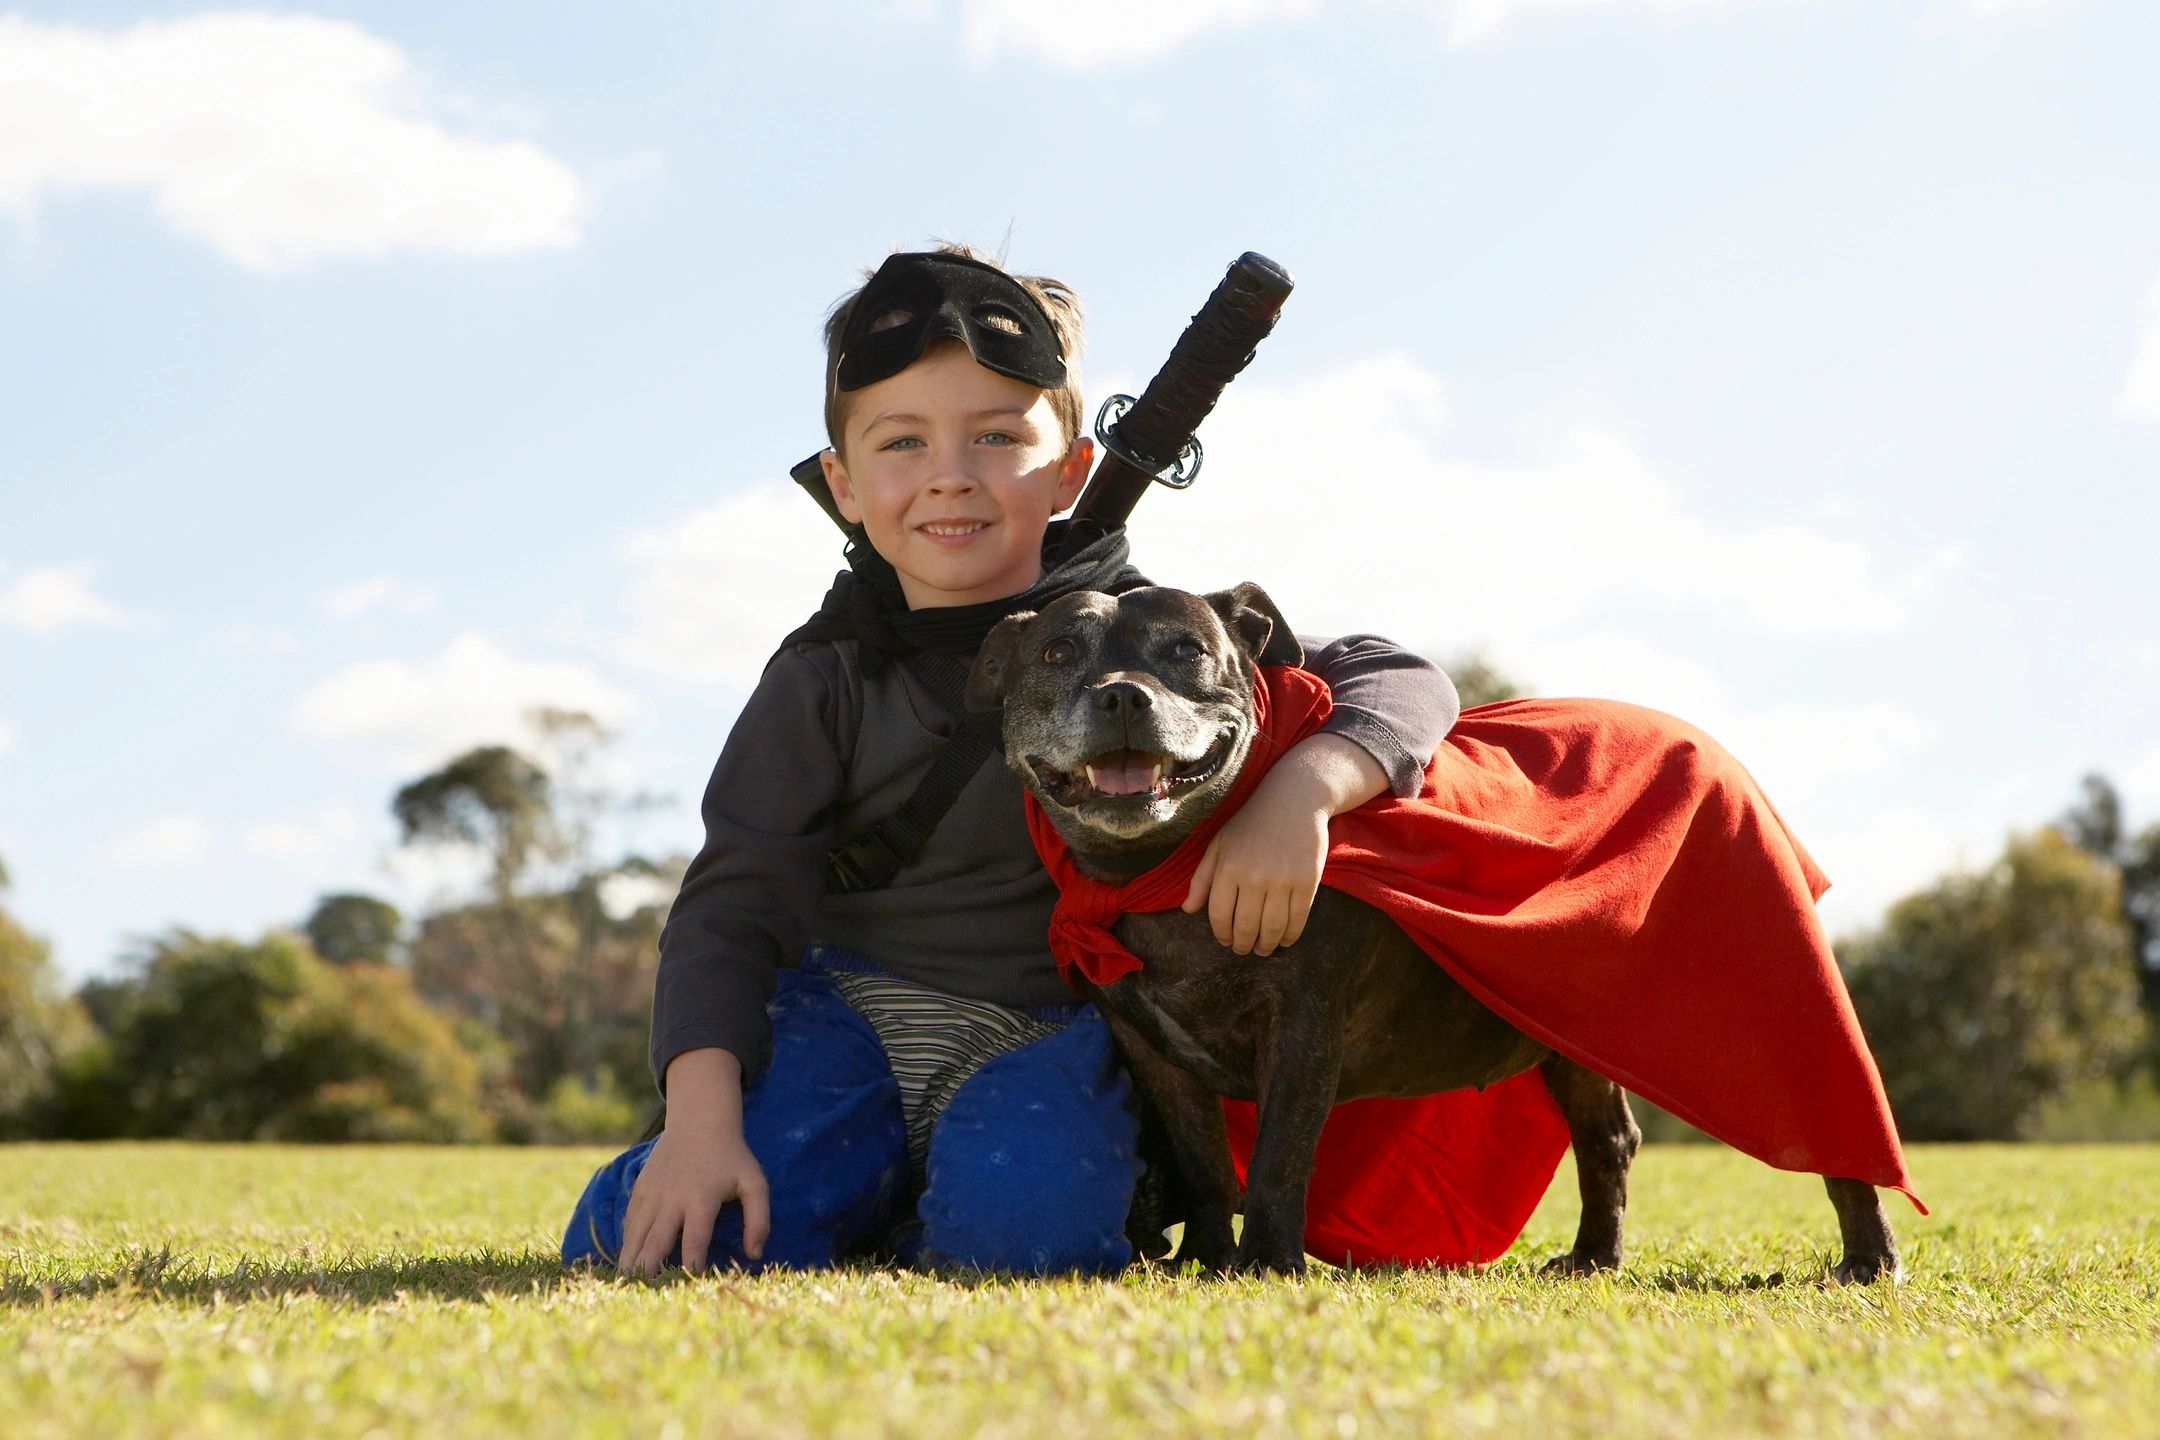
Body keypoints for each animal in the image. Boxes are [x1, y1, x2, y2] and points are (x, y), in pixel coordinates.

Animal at [972, 578, 1900, 1278]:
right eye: (1057, 653)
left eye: (1185, 652)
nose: (1124, 695)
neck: (1162, 867)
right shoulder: (1149, 1047)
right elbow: (1203, 1164)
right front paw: (1204, 1255)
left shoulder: (1303, 1024)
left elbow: (1277, 1153)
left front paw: (1266, 1261)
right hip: (1573, 1035)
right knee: (1608, 1140)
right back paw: (1592, 1257)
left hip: (1758, 1004)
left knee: (1829, 1124)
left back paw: (1867, 1258)